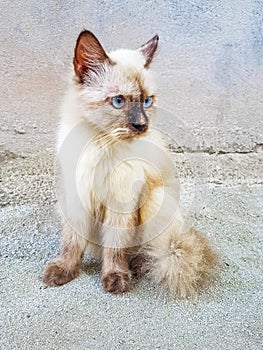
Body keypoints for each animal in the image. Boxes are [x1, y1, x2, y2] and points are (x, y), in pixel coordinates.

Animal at [42, 30, 217, 298]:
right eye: (118, 101)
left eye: (146, 102)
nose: (141, 126)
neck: (101, 143)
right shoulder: (77, 197)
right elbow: (71, 243)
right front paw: (64, 271)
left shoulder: (121, 202)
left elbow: (115, 247)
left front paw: (115, 277)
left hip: (157, 202)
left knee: (157, 252)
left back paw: (138, 266)